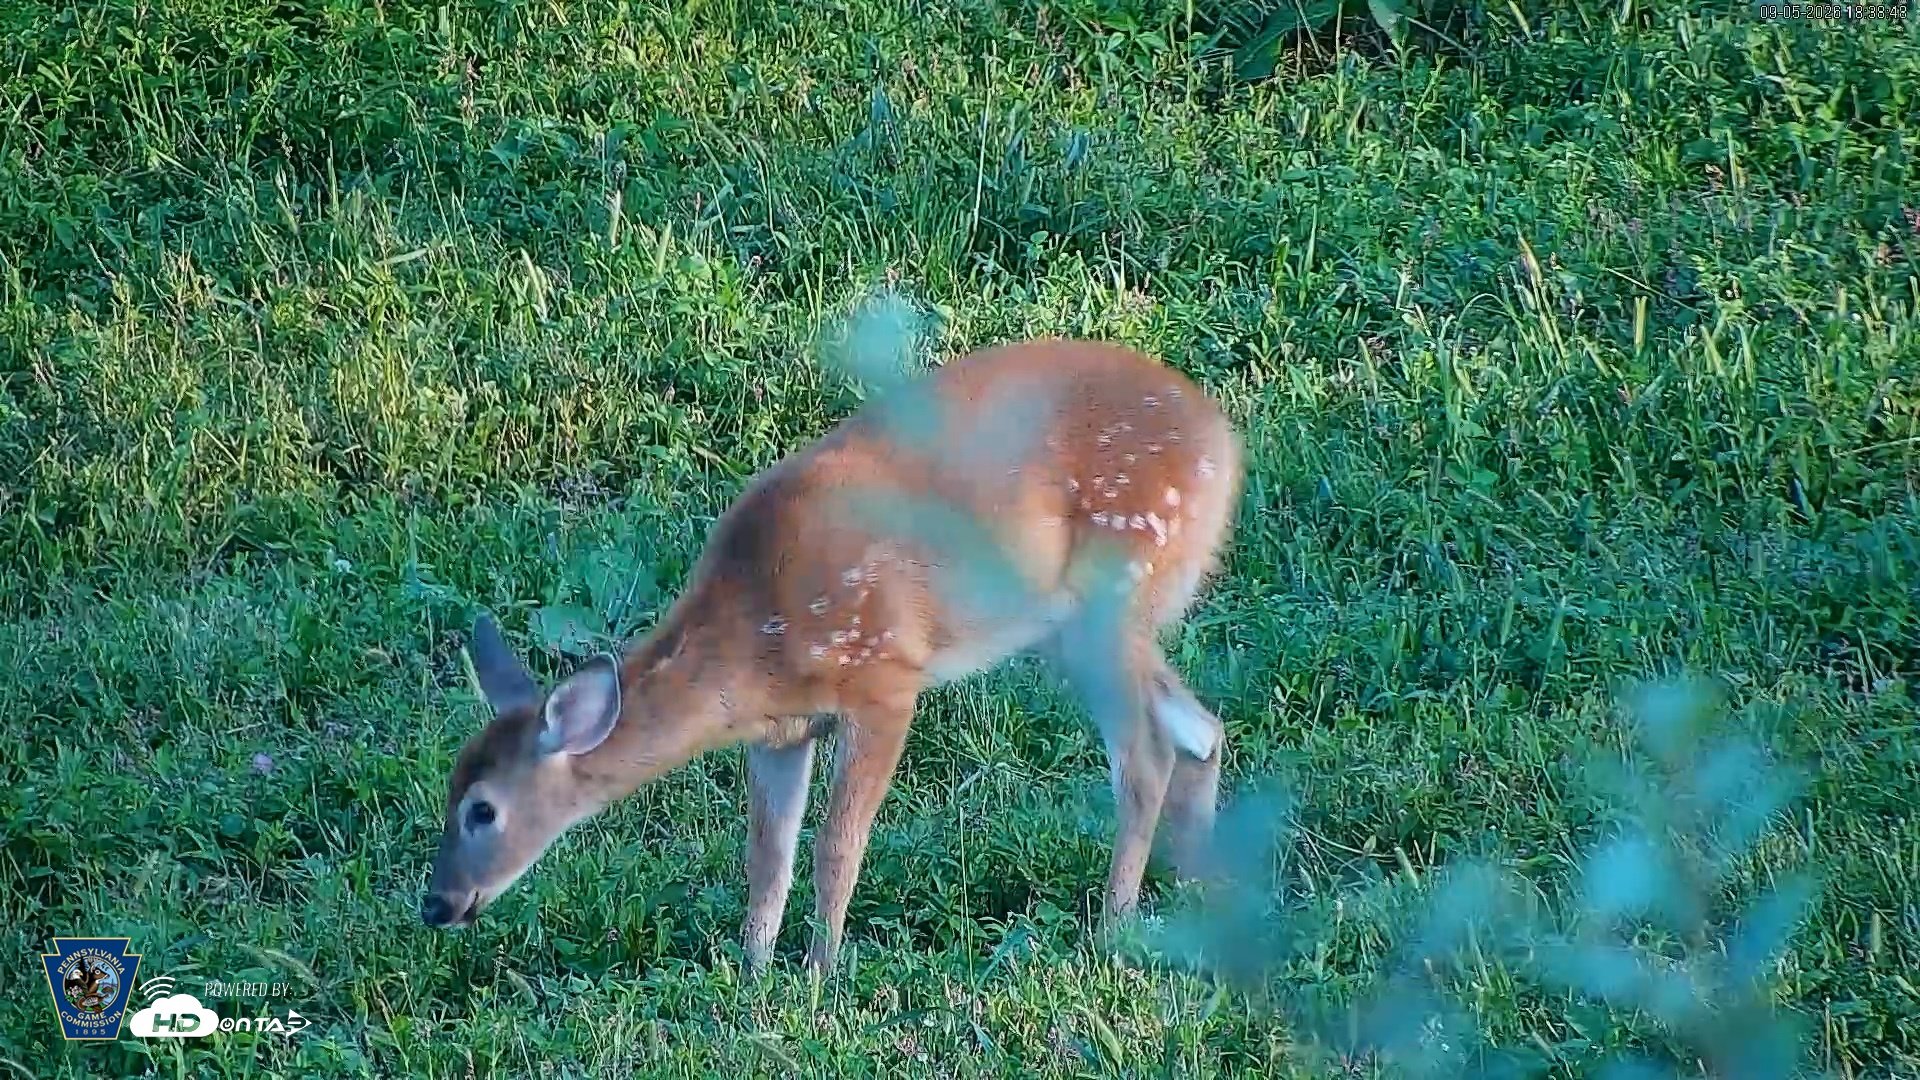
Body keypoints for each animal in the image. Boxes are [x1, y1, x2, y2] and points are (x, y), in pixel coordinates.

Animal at [419, 337, 1244, 974]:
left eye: (482, 809)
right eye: (449, 787)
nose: (436, 904)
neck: (755, 641)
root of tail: (1224, 442)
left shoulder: (885, 677)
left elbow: (836, 844)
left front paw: (819, 974)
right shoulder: (781, 731)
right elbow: (767, 854)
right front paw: (751, 971)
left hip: (1117, 582)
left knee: (1147, 754)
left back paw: (1113, 927)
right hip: (1075, 629)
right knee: (1201, 728)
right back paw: (1204, 901)